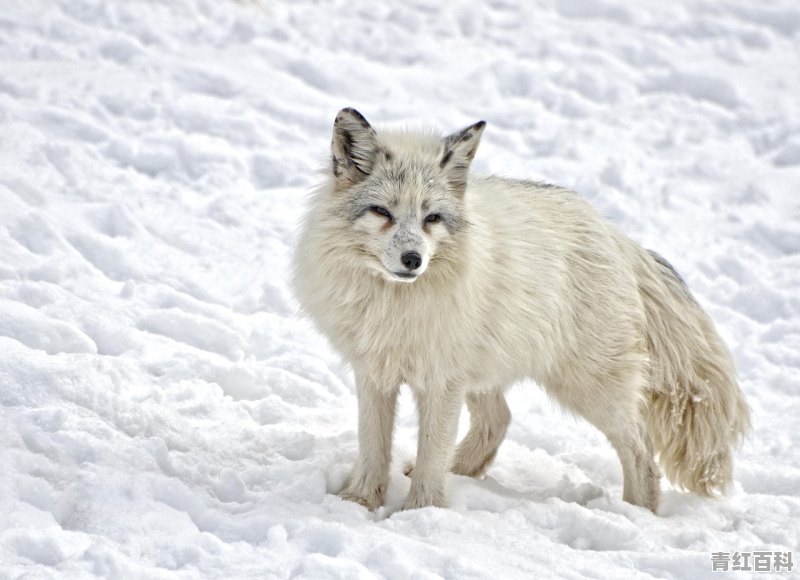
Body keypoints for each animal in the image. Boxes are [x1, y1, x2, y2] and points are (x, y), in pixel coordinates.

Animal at [292, 107, 752, 512]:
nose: (413, 260)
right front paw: (359, 502)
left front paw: (420, 513)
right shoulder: (375, 372)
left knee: (642, 455)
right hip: (487, 374)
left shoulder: (441, 382)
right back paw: (461, 472)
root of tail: (614, 235)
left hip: (588, 388)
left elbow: (431, 456)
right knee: (499, 420)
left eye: (431, 218)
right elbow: (374, 446)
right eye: (381, 212)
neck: (395, 305)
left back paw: (637, 516)